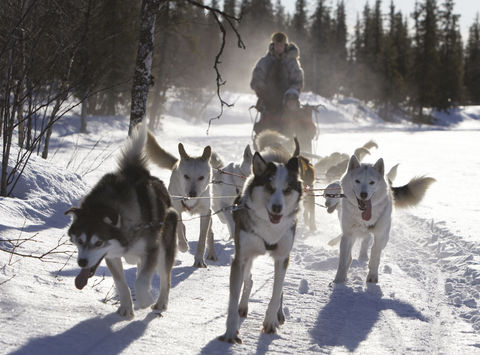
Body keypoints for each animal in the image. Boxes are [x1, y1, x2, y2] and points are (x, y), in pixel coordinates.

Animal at [63, 123, 176, 320]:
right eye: (79, 240)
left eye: (98, 242)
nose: (82, 263)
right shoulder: (112, 256)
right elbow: (122, 283)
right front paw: (126, 308)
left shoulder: (152, 250)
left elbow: (140, 282)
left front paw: (145, 300)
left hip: (165, 247)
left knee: (164, 278)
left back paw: (161, 302)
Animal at [144, 132, 216, 268]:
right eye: (186, 176)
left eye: (201, 177)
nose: (192, 193)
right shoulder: (176, 209)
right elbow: (179, 231)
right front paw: (183, 246)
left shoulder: (205, 213)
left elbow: (202, 238)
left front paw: (199, 259)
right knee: (181, 227)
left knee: (210, 233)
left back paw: (211, 253)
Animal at [219, 142, 302, 344]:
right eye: (269, 187)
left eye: (287, 190)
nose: (277, 208)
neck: (269, 227)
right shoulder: (241, 258)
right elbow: (233, 298)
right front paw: (230, 332)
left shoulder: (282, 258)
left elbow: (276, 292)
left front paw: (270, 321)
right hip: (247, 257)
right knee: (248, 280)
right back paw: (243, 306)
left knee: (278, 288)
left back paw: (278, 314)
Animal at [332, 156, 434, 284]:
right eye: (357, 181)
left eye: (372, 182)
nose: (364, 194)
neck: (364, 216)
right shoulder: (347, 235)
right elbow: (344, 259)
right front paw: (339, 279)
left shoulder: (380, 235)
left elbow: (375, 255)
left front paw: (372, 275)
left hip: (385, 236)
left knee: (372, 246)